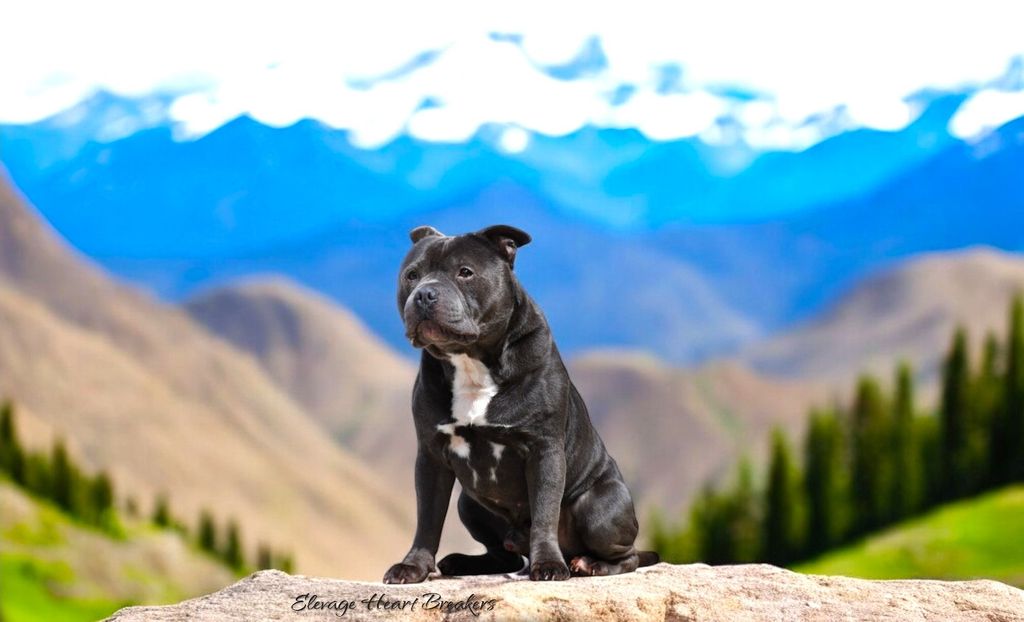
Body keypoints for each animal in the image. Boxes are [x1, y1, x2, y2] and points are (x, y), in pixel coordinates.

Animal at [382, 225, 655, 582]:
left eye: (465, 272)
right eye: (411, 275)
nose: (425, 294)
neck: (471, 362)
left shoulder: (543, 450)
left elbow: (544, 514)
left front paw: (548, 565)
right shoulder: (431, 454)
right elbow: (427, 518)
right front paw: (413, 566)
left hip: (599, 509)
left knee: (629, 555)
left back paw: (591, 564)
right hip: (468, 505)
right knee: (505, 556)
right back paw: (463, 563)